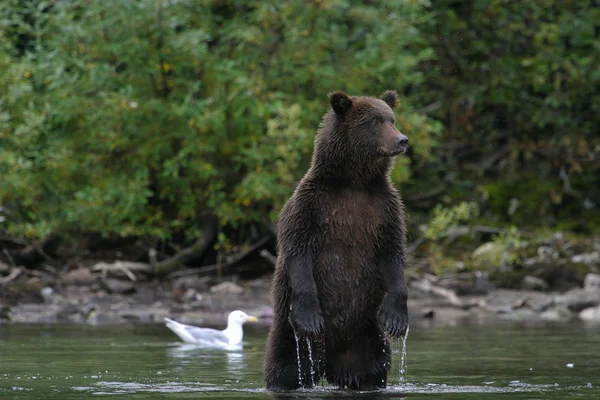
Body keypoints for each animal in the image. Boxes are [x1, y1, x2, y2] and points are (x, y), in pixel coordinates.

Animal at [264, 90, 410, 390]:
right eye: (375, 121)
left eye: (391, 119)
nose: (402, 140)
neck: (354, 182)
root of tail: (328, 362)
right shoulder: (312, 205)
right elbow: (299, 251)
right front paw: (310, 318)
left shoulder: (385, 209)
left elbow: (393, 253)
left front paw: (396, 319)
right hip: (290, 337)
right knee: (283, 369)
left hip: (366, 337)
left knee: (373, 369)